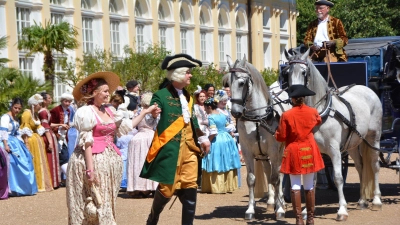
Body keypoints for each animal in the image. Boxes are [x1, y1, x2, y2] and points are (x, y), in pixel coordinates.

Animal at [225, 55, 290, 220]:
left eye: (242, 83)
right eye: (228, 83)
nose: (235, 112)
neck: (258, 119)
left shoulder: (274, 151)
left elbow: (276, 178)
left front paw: (280, 209)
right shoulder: (248, 151)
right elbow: (251, 179)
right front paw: (250, 209)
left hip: (281, 151)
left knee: (279, 173)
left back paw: (280, 201)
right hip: (263, 154)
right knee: (268, 171)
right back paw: (272, 200)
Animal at [284, 48, 384, 220]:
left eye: (304, 72)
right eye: (287, 72)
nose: (295, 97)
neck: (320, 113)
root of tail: (366, 89)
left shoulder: (334, 150)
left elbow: (338, 178)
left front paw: (342, 209)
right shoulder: (315, 151)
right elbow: (312, 180)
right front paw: (306, 211)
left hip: (373, 137)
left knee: (374, 164)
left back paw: (377, 200)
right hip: (353, 143)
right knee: (360, 166)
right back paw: (362, 200)